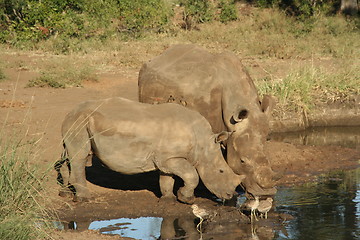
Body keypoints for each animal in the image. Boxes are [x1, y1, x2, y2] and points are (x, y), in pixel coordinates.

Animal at [59, 96, 245, 203]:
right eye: (221, 171)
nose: (231, 196)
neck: (203, 143)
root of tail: (70, 112)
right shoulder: (170, 158)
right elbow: (192, 175)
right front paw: (186, 198)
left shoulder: (167, 158)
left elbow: (167, 178)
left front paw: (169, 198)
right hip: (79, 122)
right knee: (80, 156)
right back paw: (84, 199)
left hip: (78, 121)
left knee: (69, 157)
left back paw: (65, 194)